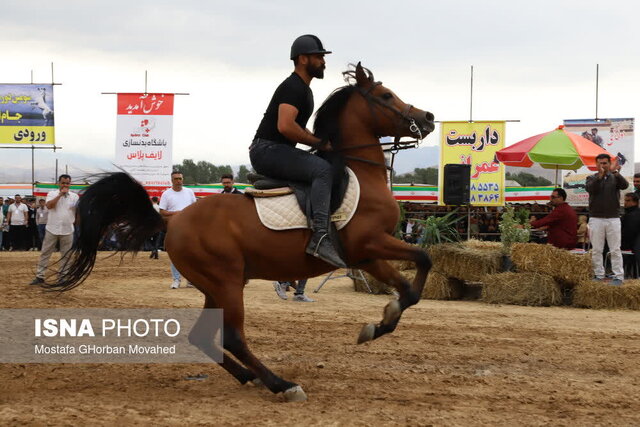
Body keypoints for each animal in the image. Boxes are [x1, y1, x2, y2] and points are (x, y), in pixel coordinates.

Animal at [57, 62, 436, 402]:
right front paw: (381, 321)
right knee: (233, 337)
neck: (360, 173)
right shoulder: (370, 244)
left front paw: (380, 323)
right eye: (386, 96)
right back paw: (281, 384)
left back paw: (249, 377)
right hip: (224, 281)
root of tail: (172, 218)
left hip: (218, 285)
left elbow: (410, 287)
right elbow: (424, 259)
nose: (429, 118)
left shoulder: (368, 256)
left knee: (204, 337)